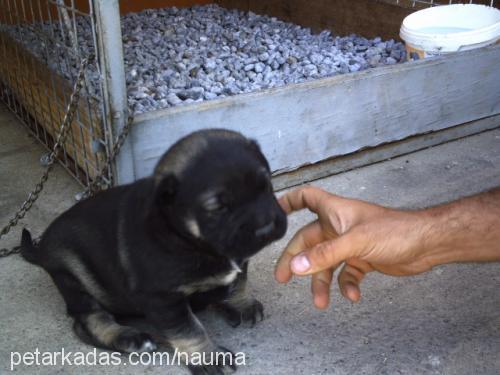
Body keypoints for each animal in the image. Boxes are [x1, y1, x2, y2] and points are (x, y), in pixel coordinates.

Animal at [21, 129, 288, 374]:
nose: (266, 228)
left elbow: (238, 282)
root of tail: (40, 247)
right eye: (217, 208)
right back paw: (130, 338)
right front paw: (209, 358)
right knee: (89, 320)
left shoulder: (238, 261)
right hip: (74, 277)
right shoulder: (163, 298)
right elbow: (190, 330)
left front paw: (241, 304)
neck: (190, 238)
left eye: (266, 186)